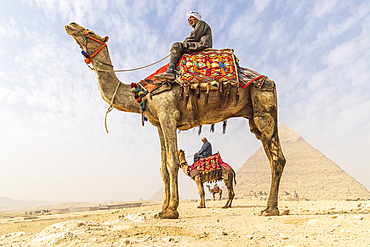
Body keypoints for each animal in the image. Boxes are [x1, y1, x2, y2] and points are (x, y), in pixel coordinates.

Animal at [65, 22, 286, 218]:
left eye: (90, 31)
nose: (71, 25)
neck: (142, 95)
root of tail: (271, 82)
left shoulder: (168, 115)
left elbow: (172, 162)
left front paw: (171, 211)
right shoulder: (158, 123)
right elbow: (162, 168)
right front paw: (162, 210)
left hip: (263, 107)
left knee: (277, 158)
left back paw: (271, 209)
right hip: (255, 117)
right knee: (270, 154)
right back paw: (267, 207)